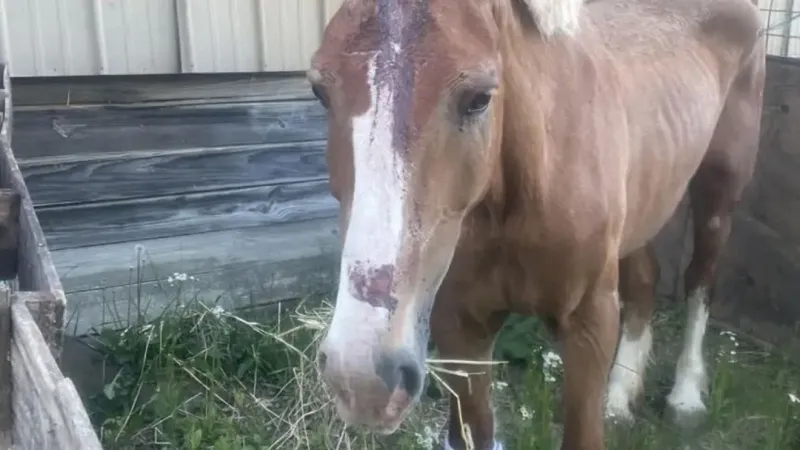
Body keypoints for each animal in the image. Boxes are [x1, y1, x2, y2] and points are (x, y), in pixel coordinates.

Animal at [309, 0, 766, 448]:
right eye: (320, 92)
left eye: (479, 98)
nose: (362, 379)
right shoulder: (461, 328)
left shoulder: (589, 325)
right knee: (645, 278)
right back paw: (619, 397)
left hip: (718, 192)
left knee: (700, 281)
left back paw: (685, 397)